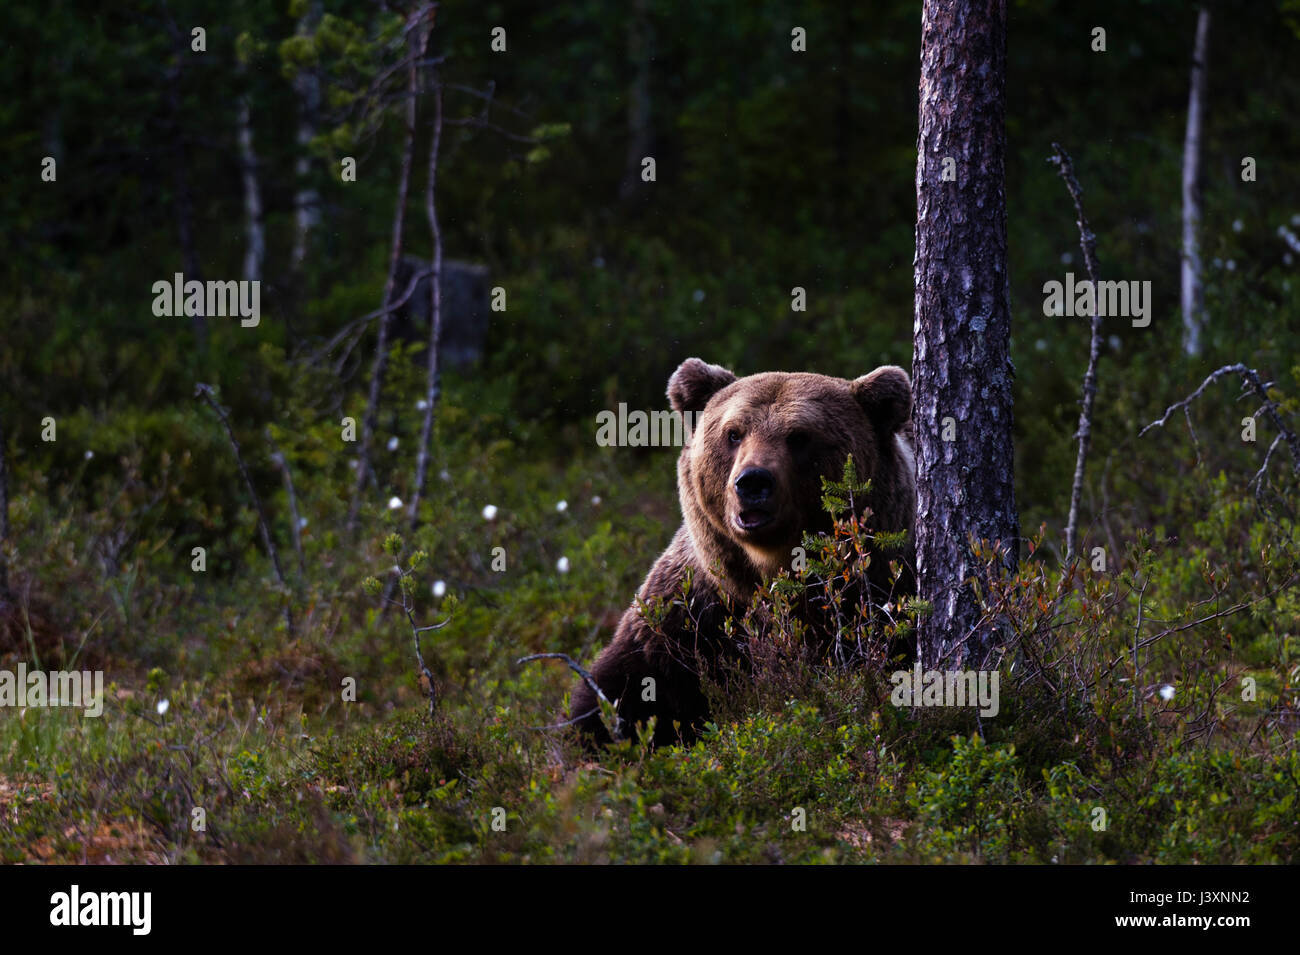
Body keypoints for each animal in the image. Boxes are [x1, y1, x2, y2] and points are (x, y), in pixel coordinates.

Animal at [569, 358, 915, 748]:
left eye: (799, 436)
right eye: (733, 433)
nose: (752, 481)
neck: (770, 565)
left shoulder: (884, 594)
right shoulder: (694, 613)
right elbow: (623, 688)